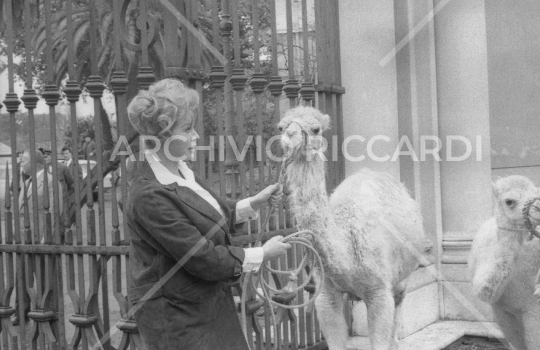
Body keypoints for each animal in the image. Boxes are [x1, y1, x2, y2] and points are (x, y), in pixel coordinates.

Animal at [278, 106, 430, 350]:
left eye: (315, 128)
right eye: (280, 127)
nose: (290, 136)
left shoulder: (379, 292)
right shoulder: (325, 294)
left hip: (404, 276)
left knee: (398, 307)